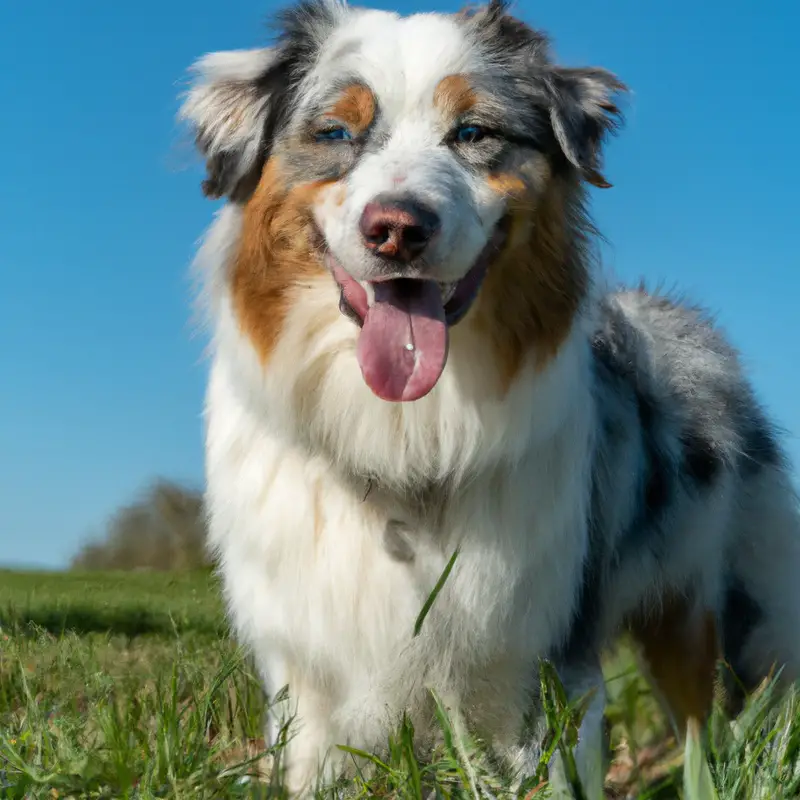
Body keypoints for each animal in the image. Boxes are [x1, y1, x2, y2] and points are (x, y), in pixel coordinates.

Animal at [180, 1, 800, 792]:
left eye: (474, 133)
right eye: (335, 133)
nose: (398, 228)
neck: (405, 432)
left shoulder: (542, 658)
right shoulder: (308, 668)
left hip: (716, 603)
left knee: (706, 726)